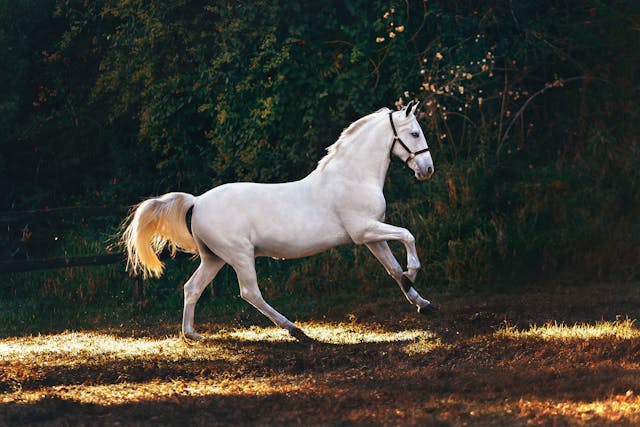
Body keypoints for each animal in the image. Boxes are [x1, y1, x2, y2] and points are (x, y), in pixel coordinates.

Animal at [122, 100, 435, 341]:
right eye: (415, 133)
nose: (427, 169)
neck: (353, 177)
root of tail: (197, 202)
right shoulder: (364, 231)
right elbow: (408, 236)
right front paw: (413, 272)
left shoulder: (372, 236)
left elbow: (393, 269)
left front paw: (422, 302)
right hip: (240, 255)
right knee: (250, 292)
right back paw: (294, 329)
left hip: (214, 258)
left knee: (192, 287)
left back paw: (192, 334)